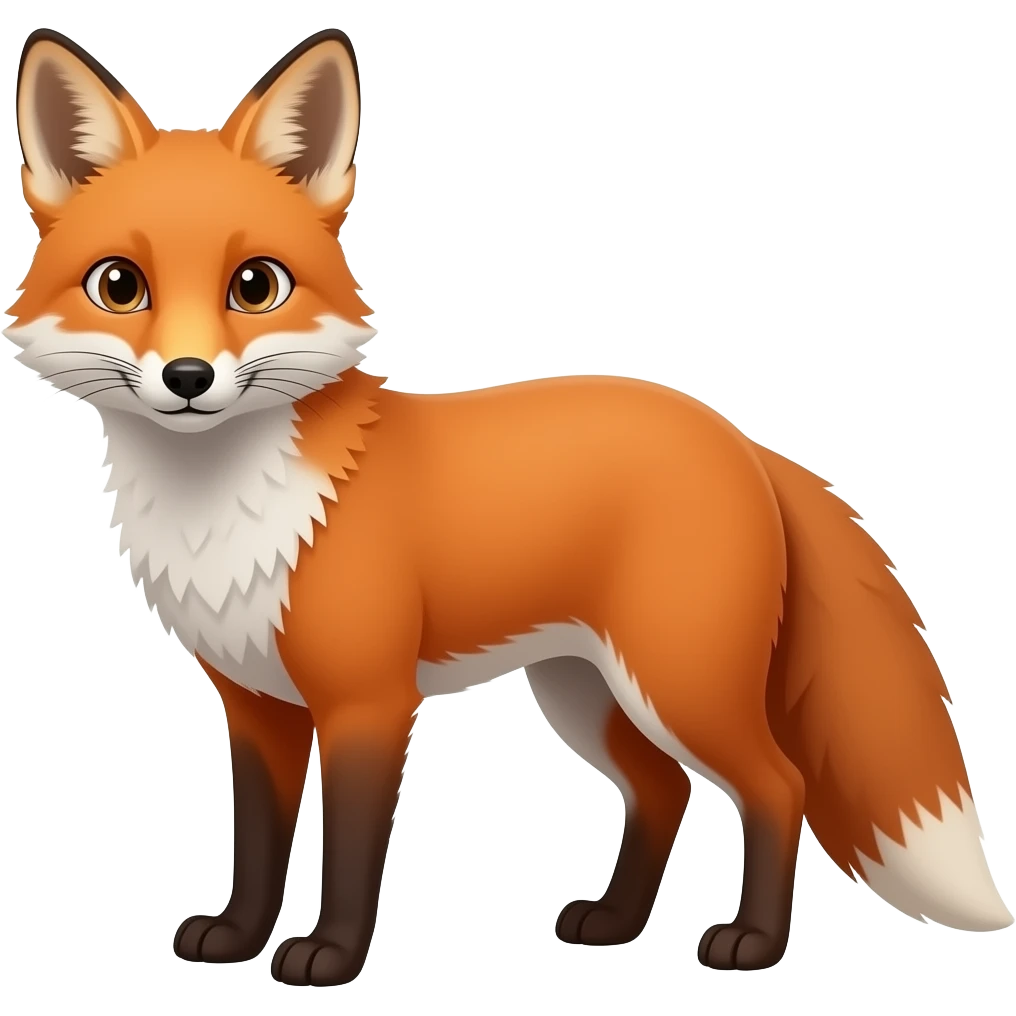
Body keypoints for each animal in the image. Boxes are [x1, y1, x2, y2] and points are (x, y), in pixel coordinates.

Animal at [6, 26, 1012, 987]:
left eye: (255, 285)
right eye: (119, 285)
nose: (188, 378)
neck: (225, 512)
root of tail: (737, 438)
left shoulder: (369, 701)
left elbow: (351, 853)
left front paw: (330, 958)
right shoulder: (255, 705)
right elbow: (256, 845)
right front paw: (237, 937)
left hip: (679, 684)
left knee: (779, 786)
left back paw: (753, 944)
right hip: (585, 692)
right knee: (663, 790)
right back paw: (615, 924)